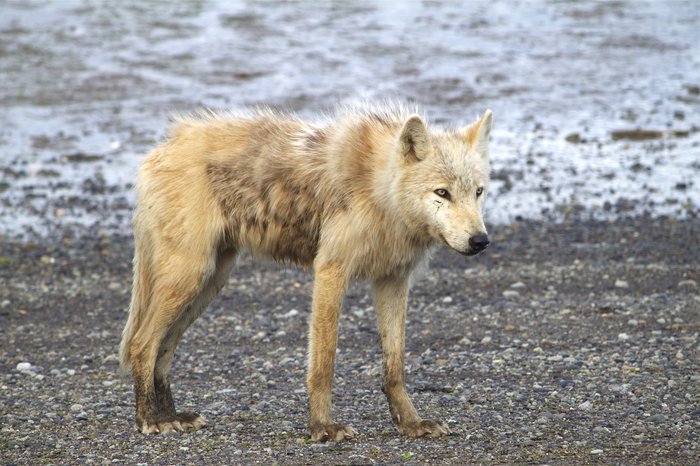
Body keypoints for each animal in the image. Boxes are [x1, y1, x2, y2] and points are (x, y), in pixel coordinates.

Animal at [119, 103, 493, 441]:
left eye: (478, 192)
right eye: (442, 193)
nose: (481, 241)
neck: (380, 191)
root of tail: (157, 151)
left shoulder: (393, 281)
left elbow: (395, 367)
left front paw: (410, 423)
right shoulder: (330, 272)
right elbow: (323, 363)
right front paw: (322, 427)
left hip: (209, 283)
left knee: (163, 350)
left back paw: (170, 415)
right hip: (190, 278)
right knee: (142, 344)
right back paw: (150, 420)